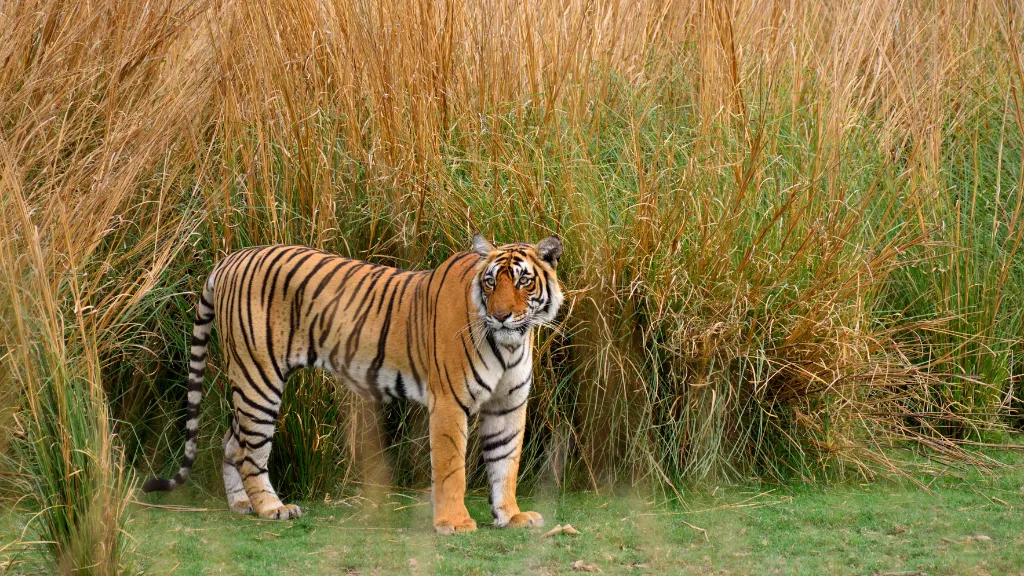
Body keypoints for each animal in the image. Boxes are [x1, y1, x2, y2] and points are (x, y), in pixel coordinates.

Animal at [141, 230, 565, 532]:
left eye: (523, 282)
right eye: (491, 283)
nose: (501, 316)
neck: (510, 343)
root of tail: (231, 258)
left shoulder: (508, 404)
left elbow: (505, 463)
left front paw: (511, 516)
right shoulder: (449, 401)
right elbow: (450, 468)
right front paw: (454, 523)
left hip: (249, 381)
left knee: (232, 442)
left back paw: (241, 504)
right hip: (257, 376)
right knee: (251, 451)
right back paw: (272, 508)